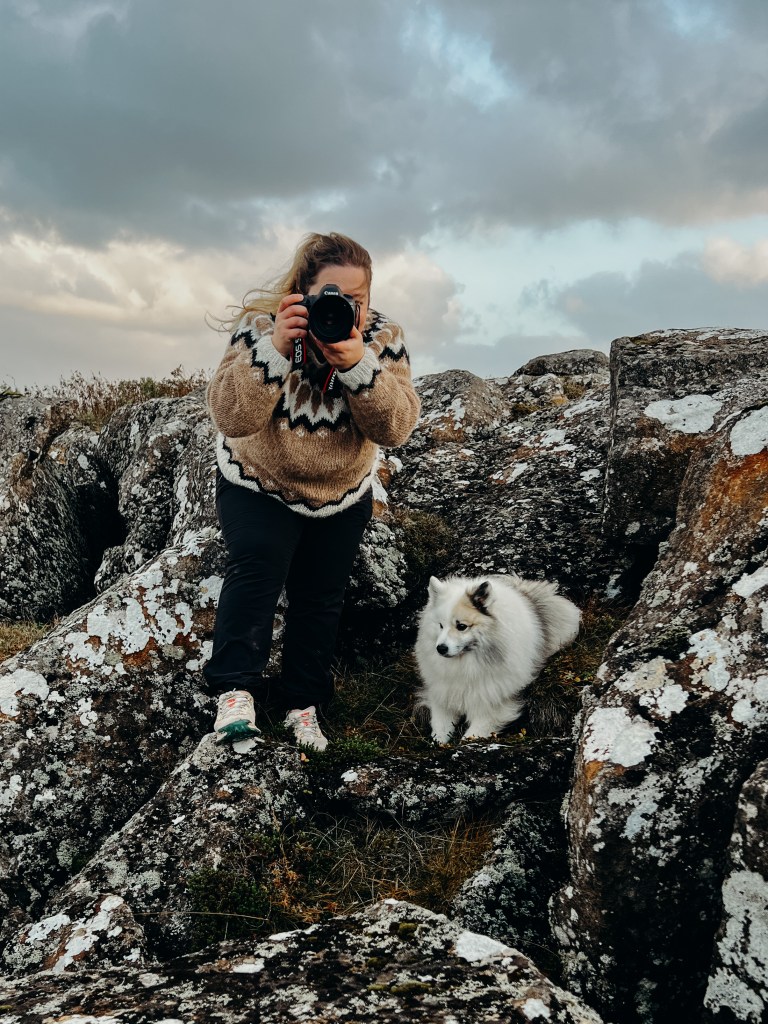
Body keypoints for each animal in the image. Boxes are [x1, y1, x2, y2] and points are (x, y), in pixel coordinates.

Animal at [414, 574, 580, 742]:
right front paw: (438, 741)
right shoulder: (444, 694)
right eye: (440, 625)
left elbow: (472, 734)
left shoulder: (494, 704)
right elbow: (440, 725)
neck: (467, 665)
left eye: (461, 626)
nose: (440, 648)